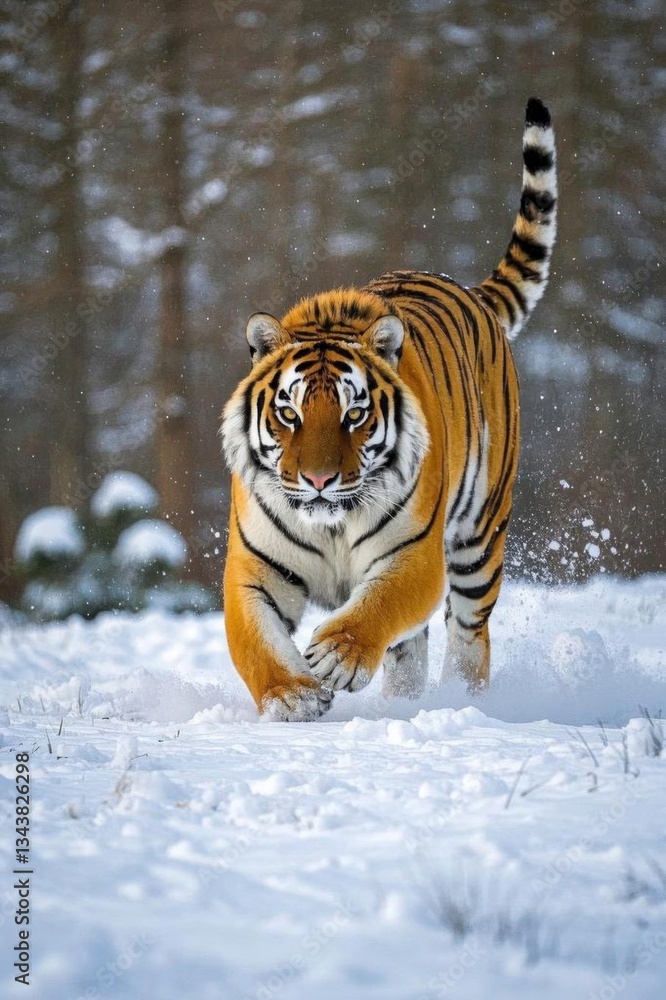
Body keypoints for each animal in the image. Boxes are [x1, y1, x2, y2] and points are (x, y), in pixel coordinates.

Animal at [221, 98, 557, 721]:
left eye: (354, 415)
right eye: (289, 414)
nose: (319, 480)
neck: (330, 523)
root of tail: (469, 291)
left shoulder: (414, 556)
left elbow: (380, 605)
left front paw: (336, 656)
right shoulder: (254, 570)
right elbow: (255, 641)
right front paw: (292, 696)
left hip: (479, 540)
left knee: (470, 634)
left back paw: (462, 703)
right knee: (410, 653)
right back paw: (403, 705)